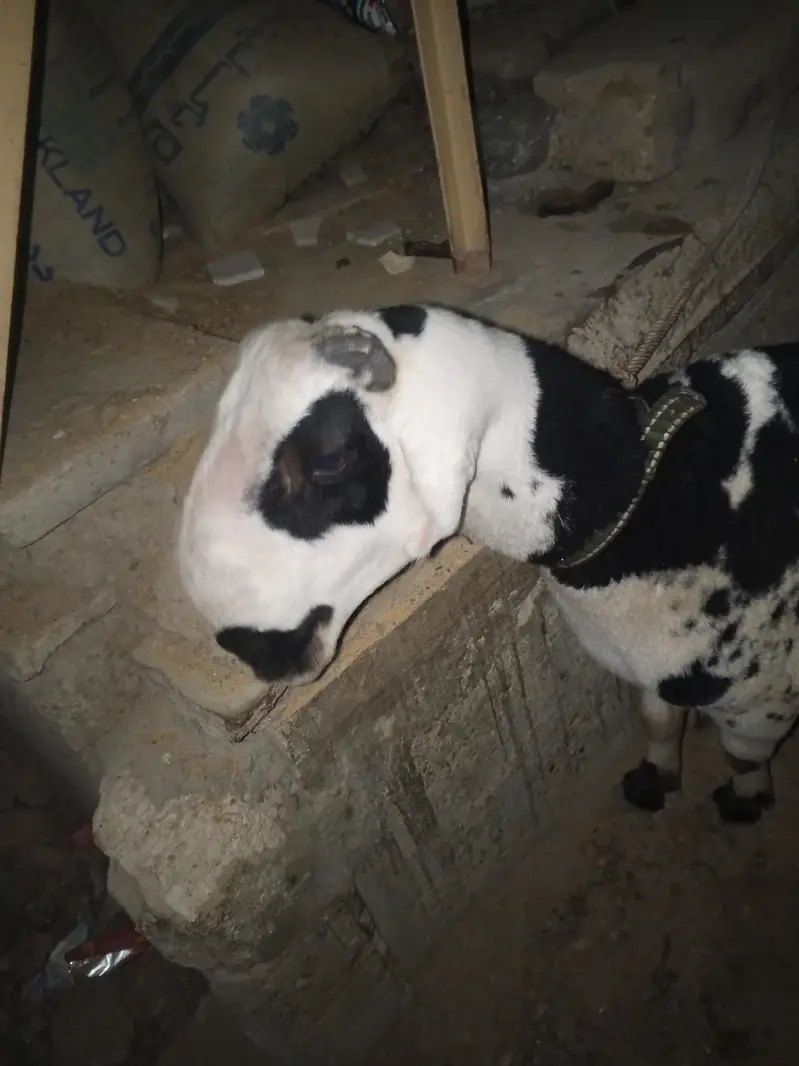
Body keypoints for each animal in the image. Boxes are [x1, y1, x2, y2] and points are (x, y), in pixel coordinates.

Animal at [178, 303, 799, 825]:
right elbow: (660, 718)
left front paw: (744, 803)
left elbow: (742, 756)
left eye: (329, 460)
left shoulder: (761, 700)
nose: (238, 642)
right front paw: (654, 781)